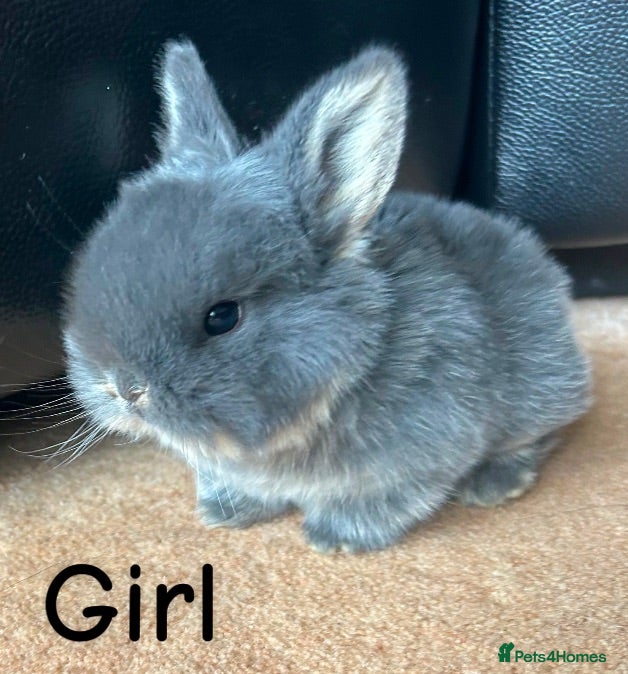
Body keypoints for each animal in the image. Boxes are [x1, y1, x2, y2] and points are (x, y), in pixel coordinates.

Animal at [62, 40, 591, 552]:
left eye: (223, 317)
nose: (125, 388)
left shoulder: (417, 460)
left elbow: (382, 501)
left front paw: (334, 539)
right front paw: (224, 513)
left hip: (538, 394)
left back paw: (496, 485)